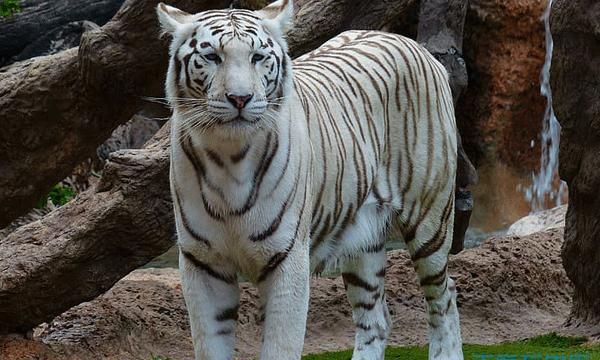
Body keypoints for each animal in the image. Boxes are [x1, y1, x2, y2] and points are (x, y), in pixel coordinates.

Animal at [157, 1, 462, 358]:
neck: (228, 156)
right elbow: (210, 344)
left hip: (430, 218)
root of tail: (412, 44)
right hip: (363, 240)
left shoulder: (287, 257)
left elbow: (280, 345)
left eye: (257, 57)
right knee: (376, 318)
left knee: (444, 296)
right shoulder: (203, 262)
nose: (240, 98)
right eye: (211, 57)